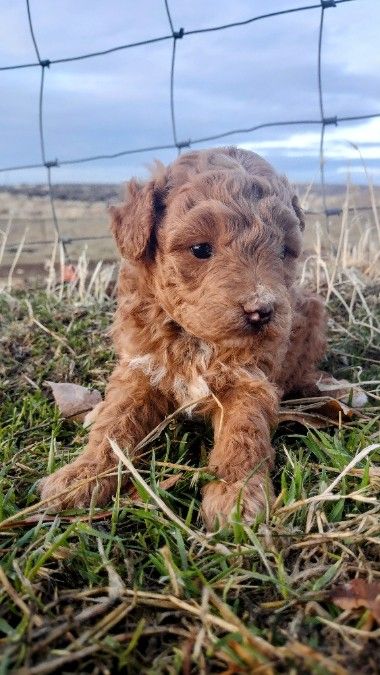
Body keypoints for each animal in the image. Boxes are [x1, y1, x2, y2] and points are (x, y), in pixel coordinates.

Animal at [39, 148, 326, 528]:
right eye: (201, 249)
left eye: (283, 251)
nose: (261, 311)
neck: (195, 339)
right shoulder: (139, 369)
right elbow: (115, 424)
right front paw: (82, 475)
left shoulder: (248, 380)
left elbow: (243, 436)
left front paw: (237, 496)